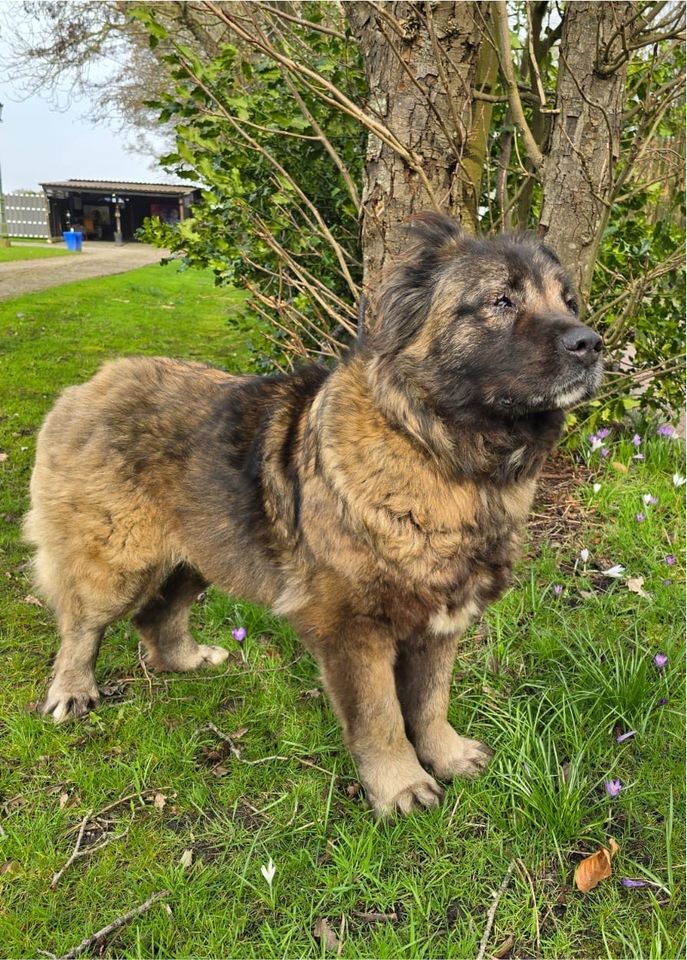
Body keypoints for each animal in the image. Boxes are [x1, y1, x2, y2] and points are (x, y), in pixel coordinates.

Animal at [24, 214, 600, 812]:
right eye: (501, 301)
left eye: (569, 300)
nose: (590, 344)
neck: (439, 454)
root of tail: (86, 386)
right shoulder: (354, 629)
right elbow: (382, 717)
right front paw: (401, 786)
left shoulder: (442, 623)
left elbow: (430, 702)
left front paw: (447, 754)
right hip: (118, 564)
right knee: (82, 627)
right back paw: (72, 691)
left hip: (203, 552)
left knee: (156, 617)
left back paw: (187, 660)